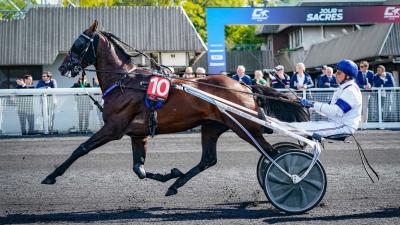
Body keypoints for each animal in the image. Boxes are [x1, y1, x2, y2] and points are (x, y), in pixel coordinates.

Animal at [41, 21, 310, 197]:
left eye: (78, 43)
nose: (63, 67)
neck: (125, 81)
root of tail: (243, 84)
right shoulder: (137, 134)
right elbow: (139, 169)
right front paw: (169, 174)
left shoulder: (113, 128)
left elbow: (81, 149)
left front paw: (51, 175)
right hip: (212, 126)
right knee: (209, 159)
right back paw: (175, 184)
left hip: (245, 127)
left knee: (273, 155)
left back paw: (291, 180)